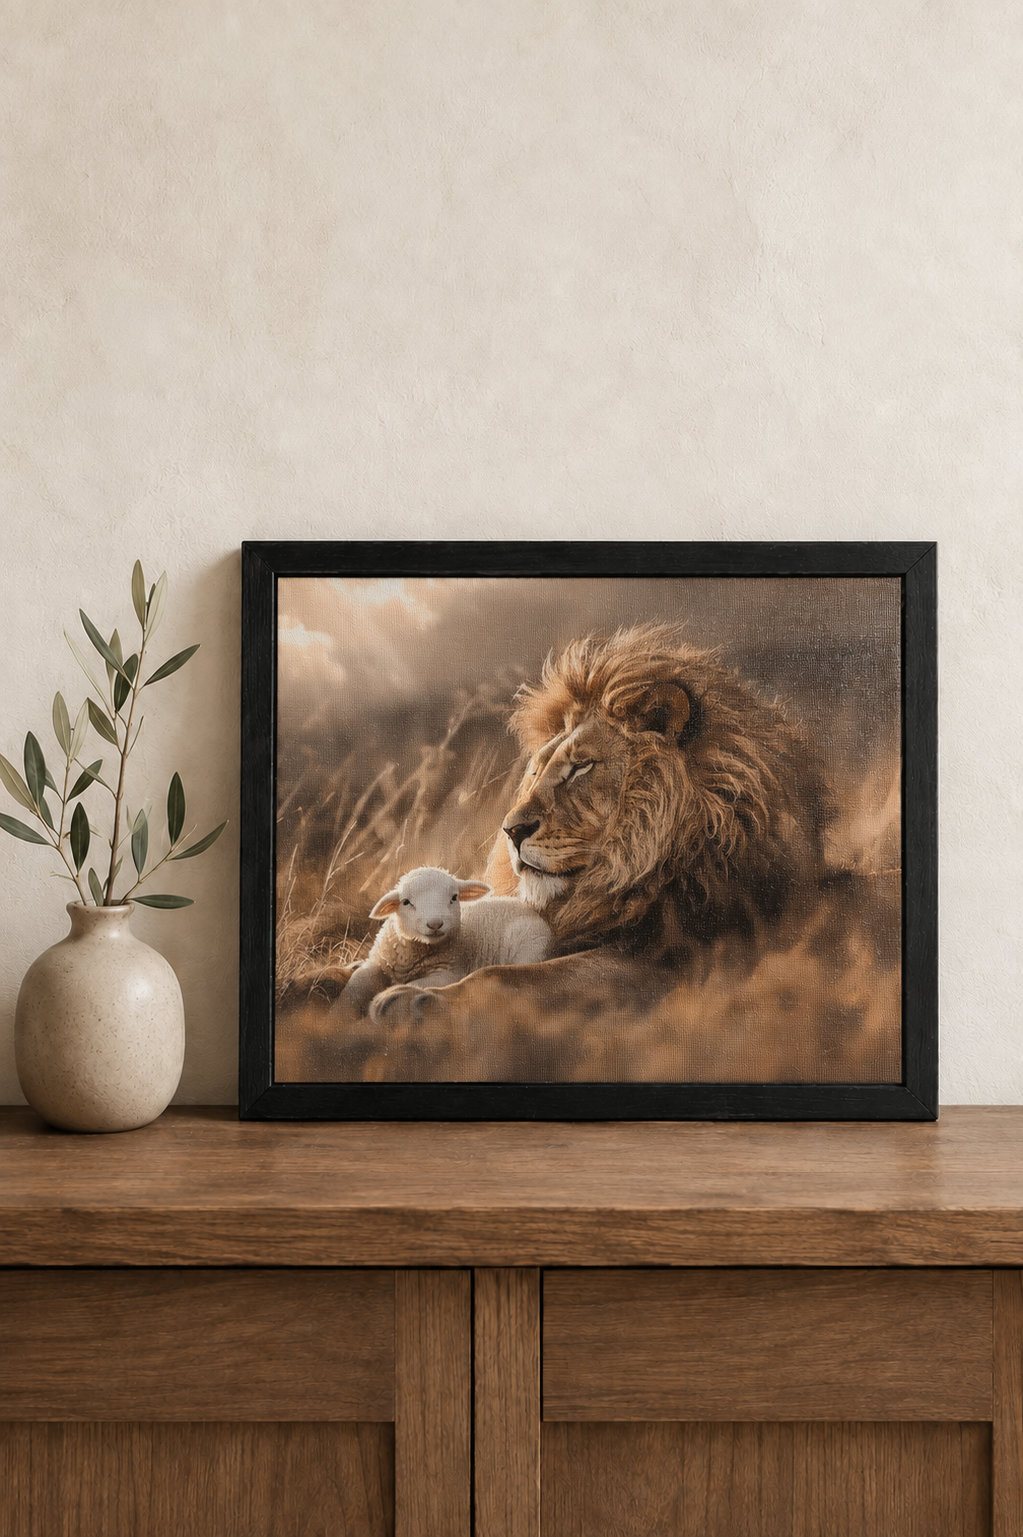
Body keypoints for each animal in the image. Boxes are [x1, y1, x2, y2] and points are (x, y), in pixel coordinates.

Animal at [333, 865, 552, 1022]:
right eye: (406, 902)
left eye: (454, 898)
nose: (435, 924)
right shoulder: (377, 963)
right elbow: (356, 985)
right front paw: (337, 1016)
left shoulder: (448, 972)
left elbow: (417, 985)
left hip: (531, 950)